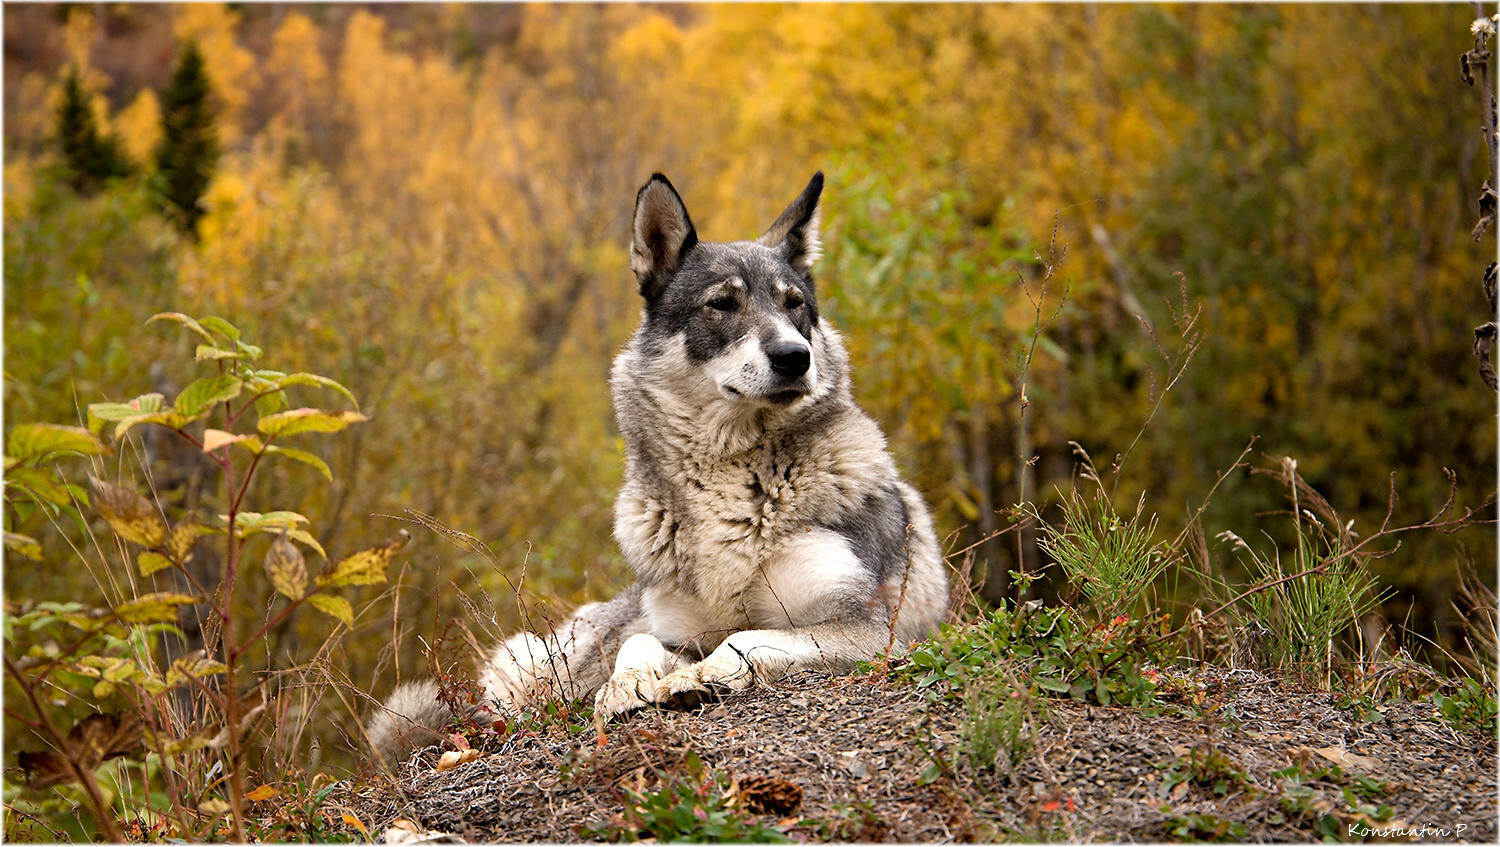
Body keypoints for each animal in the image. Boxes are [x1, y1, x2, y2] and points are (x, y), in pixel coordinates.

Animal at [367, 170, 942, 758]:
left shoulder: (871, 630)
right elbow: (642, 641)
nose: (795, 358)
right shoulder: (675, 631)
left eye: (794, 304)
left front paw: (697, 678)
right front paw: (626, 687)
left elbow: (747, 637)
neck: (732, 480)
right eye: (722, 304)